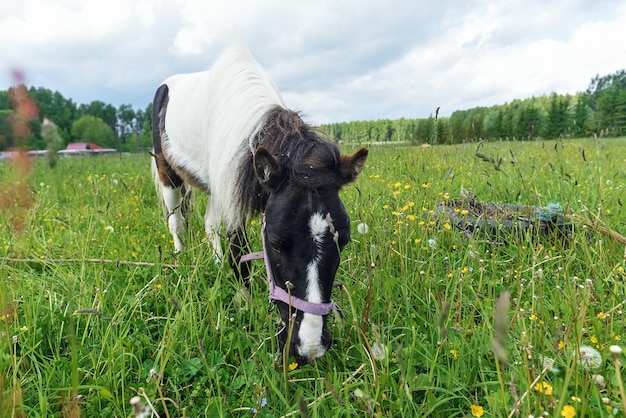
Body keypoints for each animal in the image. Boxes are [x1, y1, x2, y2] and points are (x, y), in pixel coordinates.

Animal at [151, 46, 366, 362]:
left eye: (345, 240)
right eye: (275, 243)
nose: (310, 347)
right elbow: (239, 255)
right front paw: (247, 307)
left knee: (208, 225)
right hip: (168, 174)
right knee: (176, 221)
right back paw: (179, 256)